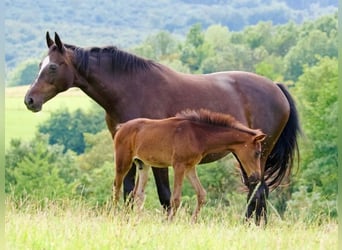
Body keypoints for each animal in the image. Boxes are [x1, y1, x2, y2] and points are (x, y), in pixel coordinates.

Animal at [113, 108, 266, 222]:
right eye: (257, 153)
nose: (256, 177)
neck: (197, 135)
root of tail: (121, 127)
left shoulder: (190, 167)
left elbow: (201, 194)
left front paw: (193, 222)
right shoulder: (179, 166)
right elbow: (175, 198)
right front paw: (169, 223)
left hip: (143, 164)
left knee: (138, 193)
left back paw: (137, 220)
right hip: (123, 161)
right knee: (117, 187)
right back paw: (113, 216)